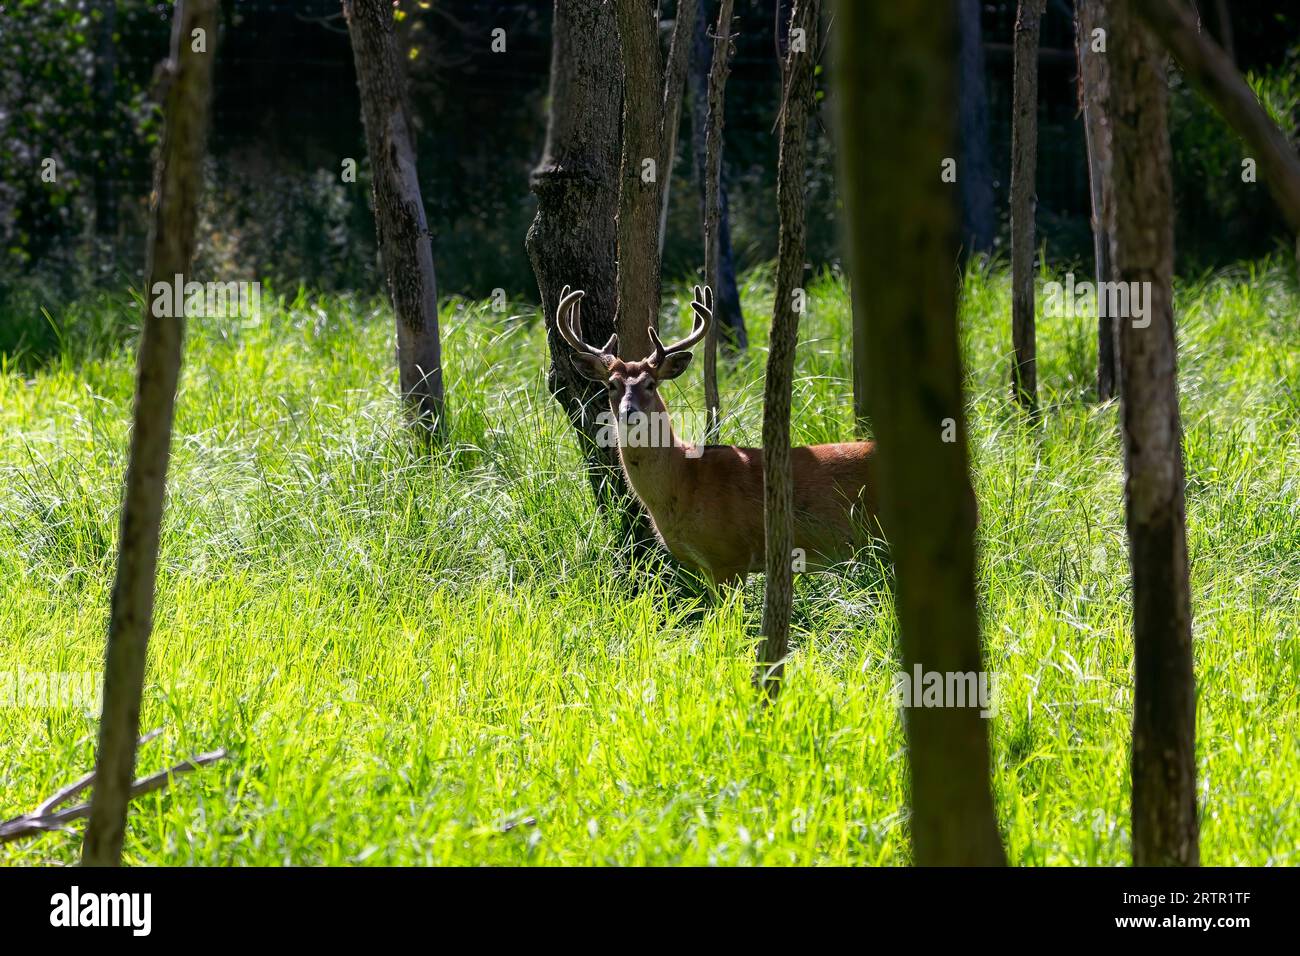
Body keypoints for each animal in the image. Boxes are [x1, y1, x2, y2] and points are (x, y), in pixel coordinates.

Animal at [556, 283, 882, 587]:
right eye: (612, 384)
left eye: (650, 383)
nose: (628, 411)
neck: (684, 480)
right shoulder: (706, 566)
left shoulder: (731, 556)